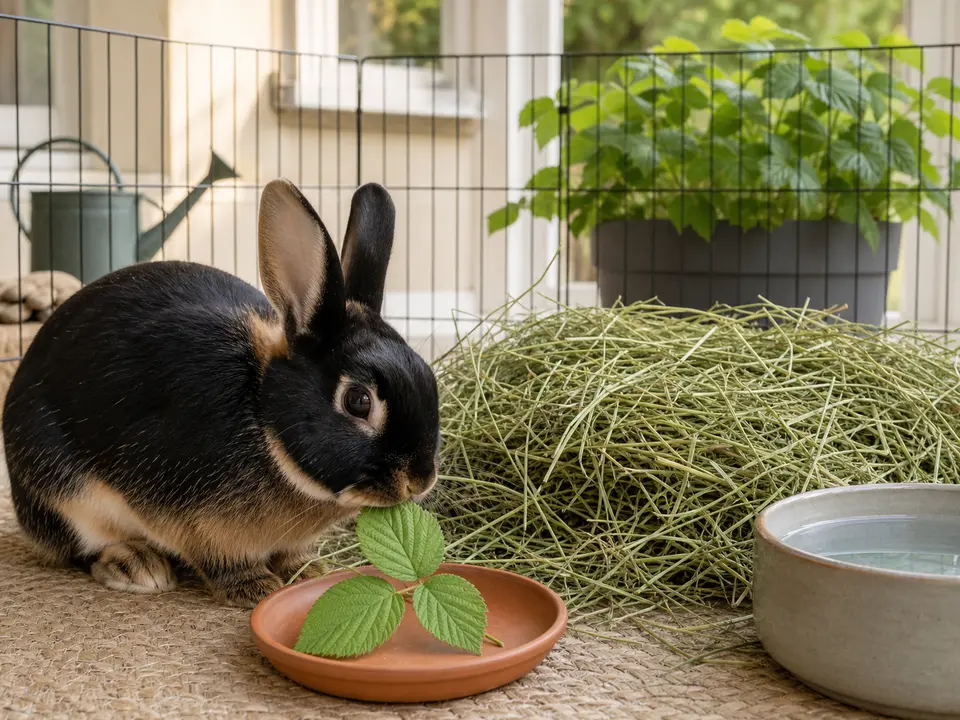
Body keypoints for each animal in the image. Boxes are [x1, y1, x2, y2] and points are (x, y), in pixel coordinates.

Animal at [1, 179, 441, 608]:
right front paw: (254, 587)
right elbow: (221, 560)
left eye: (428, 374)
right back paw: (136, 565)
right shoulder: (196, 522)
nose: (420, 480)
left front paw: (309, 573)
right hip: (64, 492)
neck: (262, 413)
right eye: (358, 401)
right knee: (82, 547)